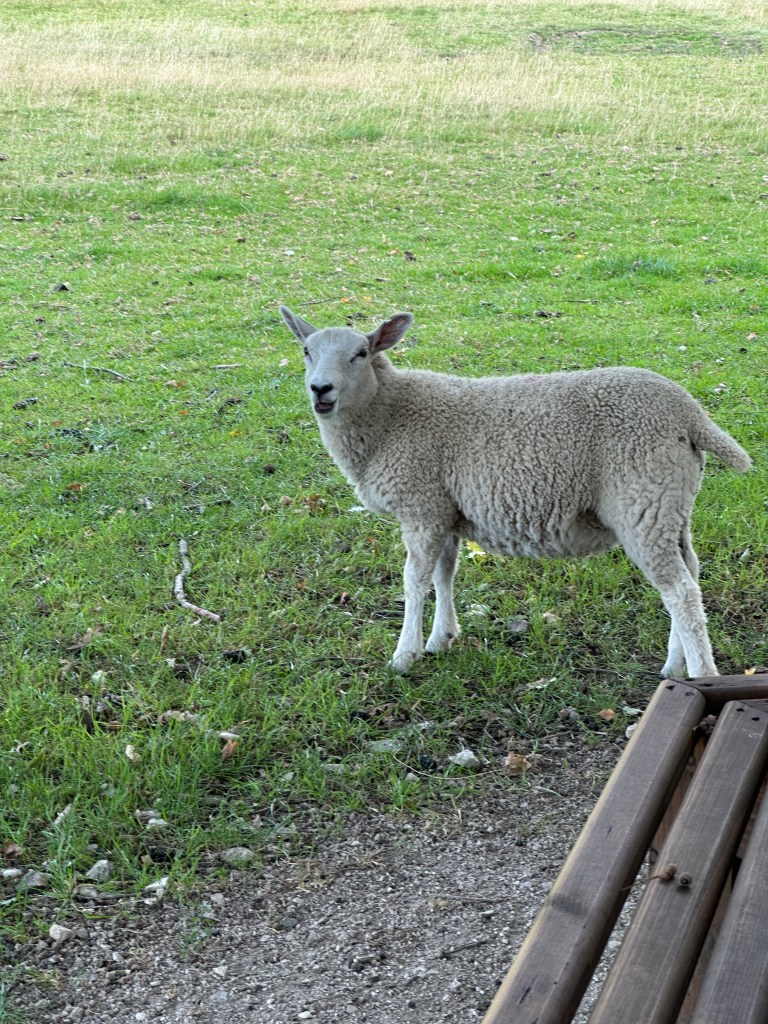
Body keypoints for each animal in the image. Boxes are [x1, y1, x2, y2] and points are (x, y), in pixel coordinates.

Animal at [280, 305, 752, 678]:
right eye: (306, 352)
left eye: (361, 353)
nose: (320, 389)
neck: (390, 415)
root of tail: (689, 414)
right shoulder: (445, 510)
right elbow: (444, 575)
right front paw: (441, 638)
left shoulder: (421, 506)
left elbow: (414, 582)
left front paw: (404, 655)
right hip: (672, 503)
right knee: (689, 574)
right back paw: (674, 665)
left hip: (643, 500)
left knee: (680, 591)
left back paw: (700, 673)